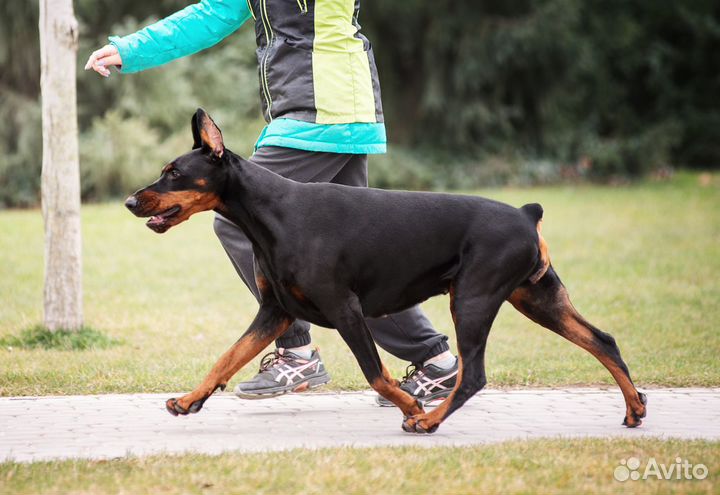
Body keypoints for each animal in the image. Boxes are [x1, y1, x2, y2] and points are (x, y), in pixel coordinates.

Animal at [124, 109, 648, 434]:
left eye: (173, 172)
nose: (130, 200)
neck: (273, 212)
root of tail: (526, 214)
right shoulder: (275, 310)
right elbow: (227, 357)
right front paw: (189, 400)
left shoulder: (346, 308)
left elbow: (376, 374)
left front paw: (411, 404)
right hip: (537, 297)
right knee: (603, 340)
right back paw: (635, 407)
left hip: (473, 299)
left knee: (474, 375)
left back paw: (428, 420)